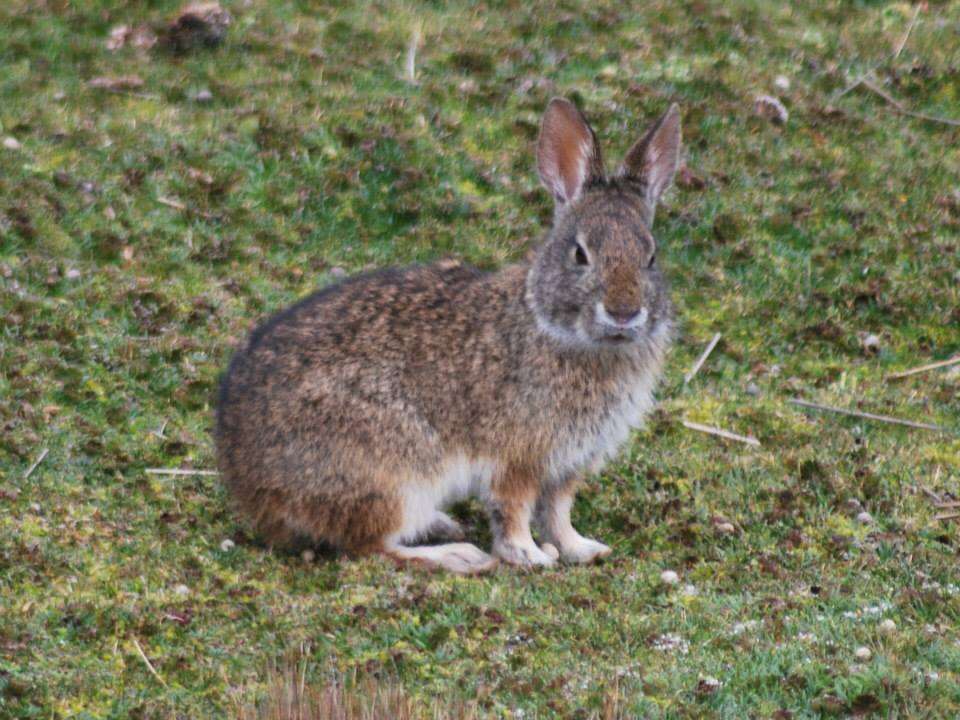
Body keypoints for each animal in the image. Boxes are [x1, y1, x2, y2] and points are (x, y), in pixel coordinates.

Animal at [218, 100, 684, 572]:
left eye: (651, 256)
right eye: (580, 254)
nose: (624, 312)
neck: (550, 322)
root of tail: (255, 490)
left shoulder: (567, 465)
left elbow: (559, 511)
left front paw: (581, 548)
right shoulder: (517, 457)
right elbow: (514, 510)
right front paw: (529, 555)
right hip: (396, 474)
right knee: (370, 545)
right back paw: (456, 554)